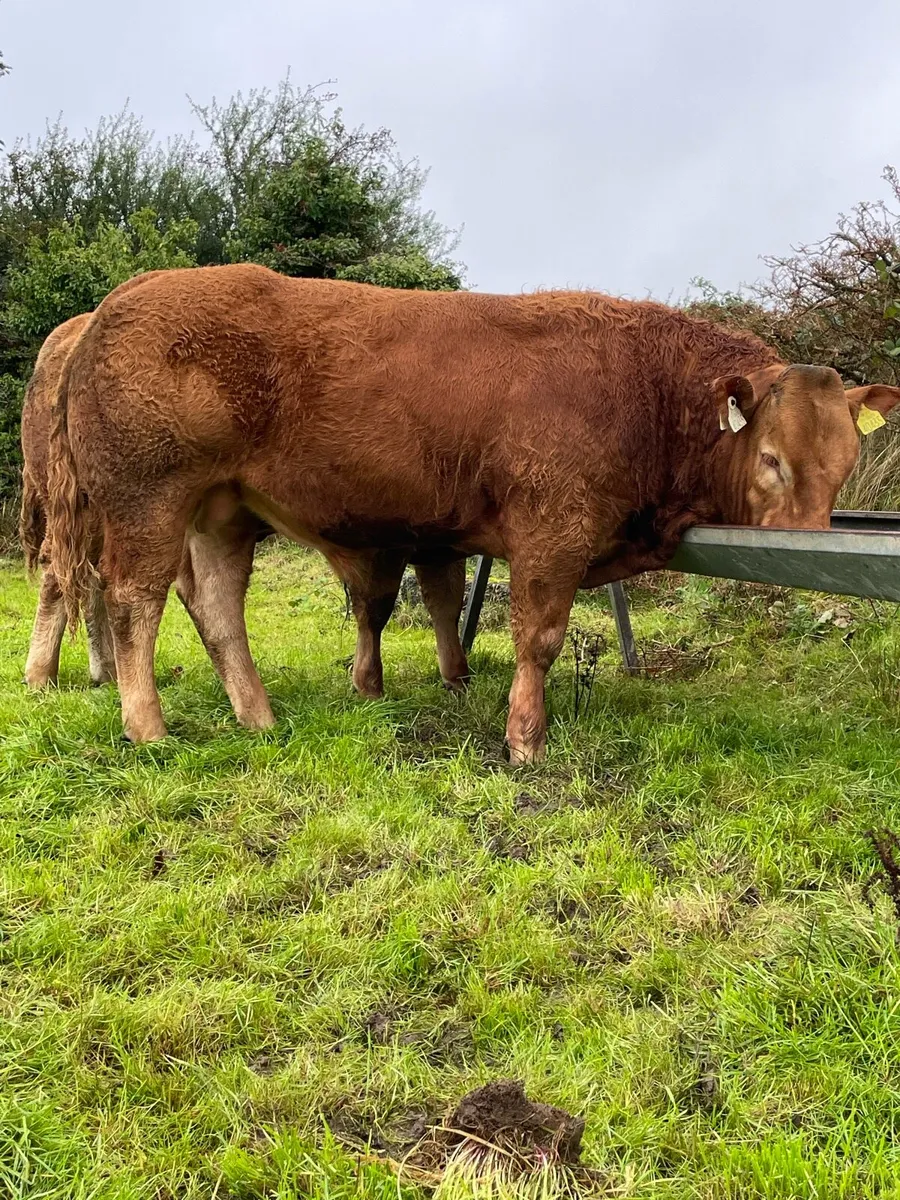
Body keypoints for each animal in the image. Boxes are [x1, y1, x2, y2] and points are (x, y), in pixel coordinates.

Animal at [22, 290, 468, 705]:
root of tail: (71, 336)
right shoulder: (392, 537)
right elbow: (380, 604)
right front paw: (377, 685)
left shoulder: (435, 543)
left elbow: (444, 599)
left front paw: (456, 676)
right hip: (104, 514)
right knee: (63, 577)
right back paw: (42, 675)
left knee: (89, 582)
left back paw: (105, 673)